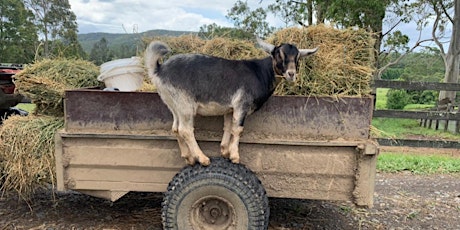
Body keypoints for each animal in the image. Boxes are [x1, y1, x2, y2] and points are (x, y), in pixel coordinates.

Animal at [146, 37, 318, 164]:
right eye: (279, 55)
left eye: (297, 57)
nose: (291, 74)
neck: (261, 72)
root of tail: (159, 70)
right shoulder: (242, 104)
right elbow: (238, 129)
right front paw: (235, 156)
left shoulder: (230, 109)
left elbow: (228, 127)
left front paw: (224, 151)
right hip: (185, 104)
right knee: (185, 130)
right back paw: (202, 158)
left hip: (174, 104)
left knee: (175, 128)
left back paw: (189, 157)